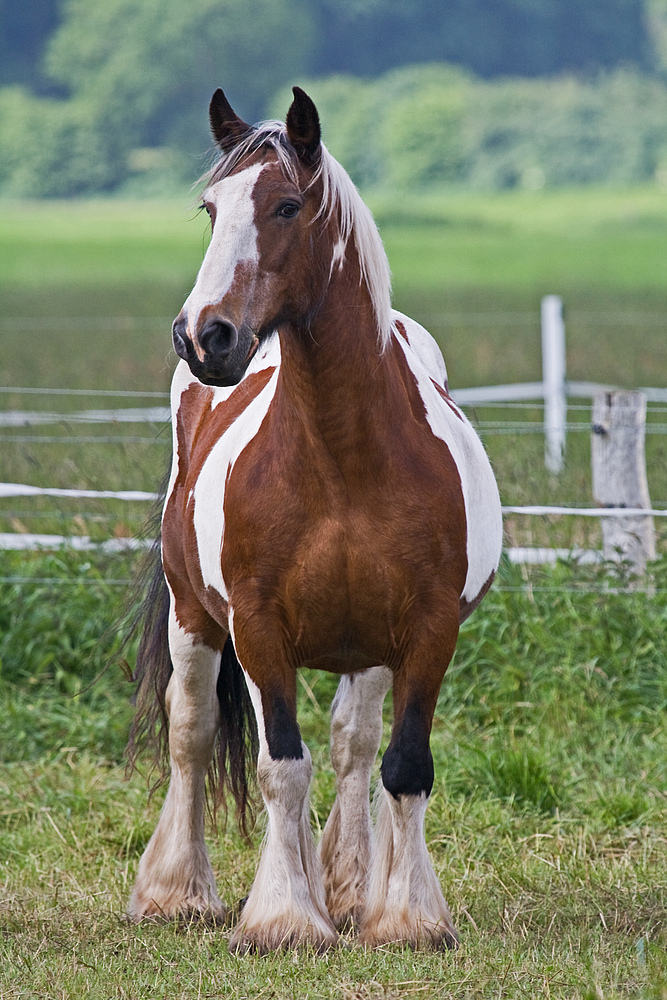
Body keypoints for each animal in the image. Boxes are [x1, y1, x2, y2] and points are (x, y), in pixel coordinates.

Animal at [124, 88, 500, 952]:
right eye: (211, 208)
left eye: (287, 206)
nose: (203, 336)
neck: (341, 459)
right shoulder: (259, 626)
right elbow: (277, 766)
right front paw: (284, 919)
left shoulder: (427, 629)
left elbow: (401, 766)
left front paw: (405, 916)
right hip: (194, 616)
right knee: (193, 734)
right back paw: (177, 891)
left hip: (367, 648)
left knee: (353, 748)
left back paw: (351, 886)